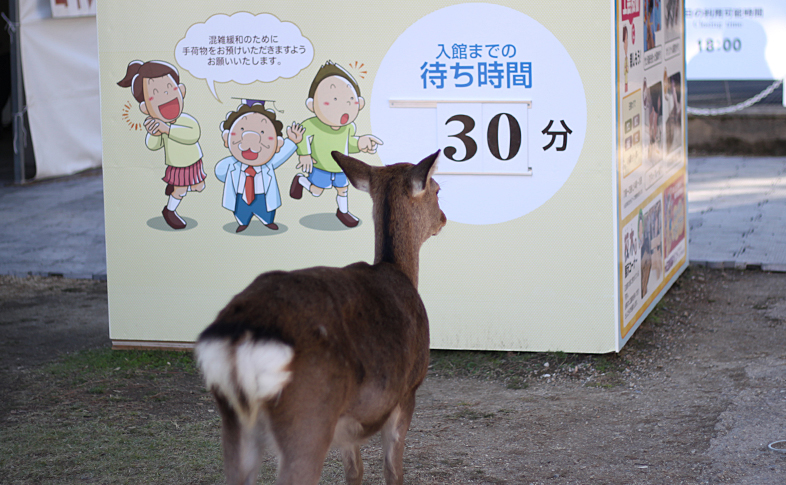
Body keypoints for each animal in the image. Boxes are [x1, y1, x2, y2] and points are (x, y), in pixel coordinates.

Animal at [194, 149, 444, 482]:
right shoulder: (408, 390)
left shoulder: (348, 421)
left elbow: (355, 470)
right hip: (309, 416)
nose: (443, 219)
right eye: (437, 189)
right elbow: (393, 470)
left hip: (235, 421)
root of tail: (240, 337)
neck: (400, 271)